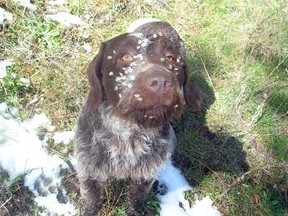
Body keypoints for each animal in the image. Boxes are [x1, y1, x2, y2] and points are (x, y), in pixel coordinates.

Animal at [73, 19, 201, 215]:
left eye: (171, 58)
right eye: (125, 57)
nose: (161, 82)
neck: (129, 132)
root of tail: (162, 21)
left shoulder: (145, 175)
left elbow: (136, 198)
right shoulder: (87, 171)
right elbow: (92, 201)